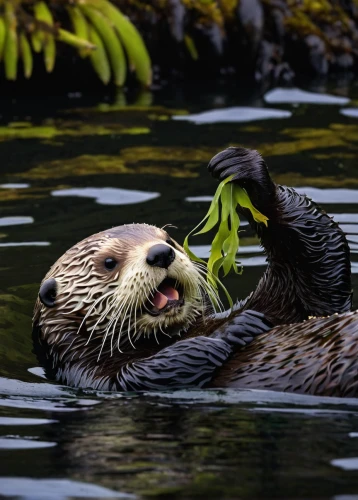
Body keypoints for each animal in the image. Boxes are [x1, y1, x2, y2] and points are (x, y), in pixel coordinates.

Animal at [31, 146, 356, 396]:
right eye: (109, 262)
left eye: (169, 240)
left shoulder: (292, 303)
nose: (160, 253)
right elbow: (161, 366)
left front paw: (243, 169)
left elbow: (317, 284)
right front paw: (234, 328)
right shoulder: (101, 380)